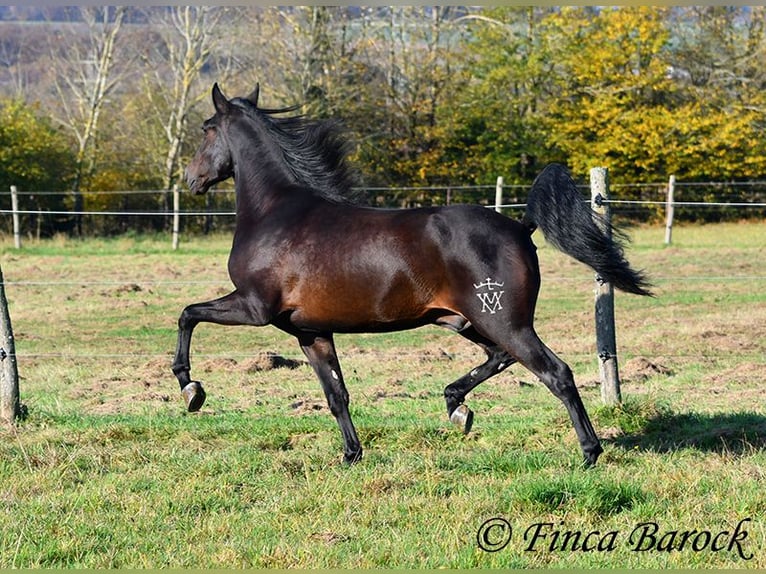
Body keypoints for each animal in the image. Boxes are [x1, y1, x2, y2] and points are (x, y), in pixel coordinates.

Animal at [176, 82, 656, 468]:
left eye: (206, 128)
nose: (191, 179)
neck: (275, 213)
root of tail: (521, 226)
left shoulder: (254, 307)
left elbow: (187, 314)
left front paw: (191, 389)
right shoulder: (310, 331)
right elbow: (336, 394)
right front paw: (351, 455)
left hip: (503, 320)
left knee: (556, 372)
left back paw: (589, 453)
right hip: (467, 321)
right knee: (499, 357)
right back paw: (457, 407)